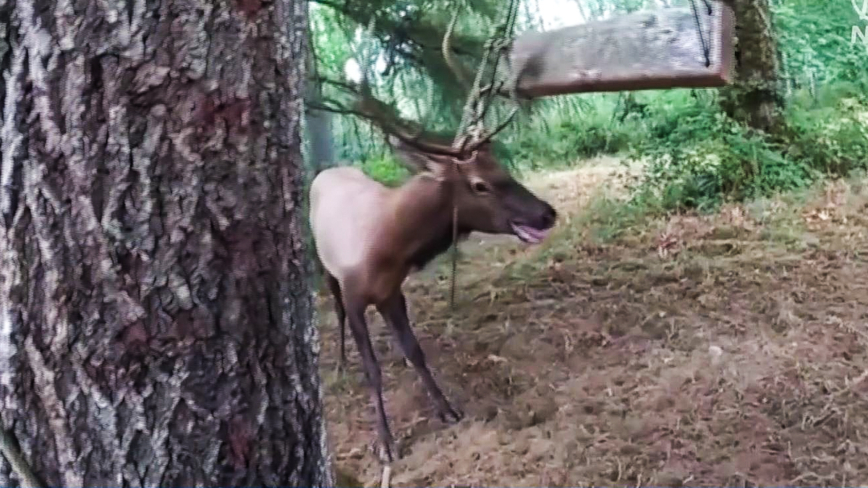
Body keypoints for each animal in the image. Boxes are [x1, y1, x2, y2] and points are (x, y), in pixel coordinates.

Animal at [308, 131, 560, 462]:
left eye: (503, 168)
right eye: (480, 184)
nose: (547, 213)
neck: (389, 248)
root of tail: (323, 173)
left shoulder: (393, 292)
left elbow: (415, 350)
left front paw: (446, 409)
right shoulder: (354, 298)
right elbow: (372, 369)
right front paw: (386, 442)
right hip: (326, 267)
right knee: (336, 310)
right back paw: (340, 362)